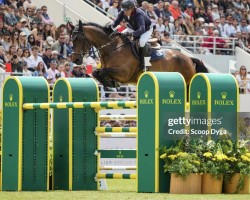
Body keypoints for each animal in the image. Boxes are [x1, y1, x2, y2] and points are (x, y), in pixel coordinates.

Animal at [71, 20, 208, 87]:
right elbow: (96, 72)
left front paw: (111, 83)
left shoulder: (123, 73)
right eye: (71, 39)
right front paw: (110, 83)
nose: (75, 60)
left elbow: (102, 72)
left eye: (79, 39)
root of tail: (189, 58)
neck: (112, 48)